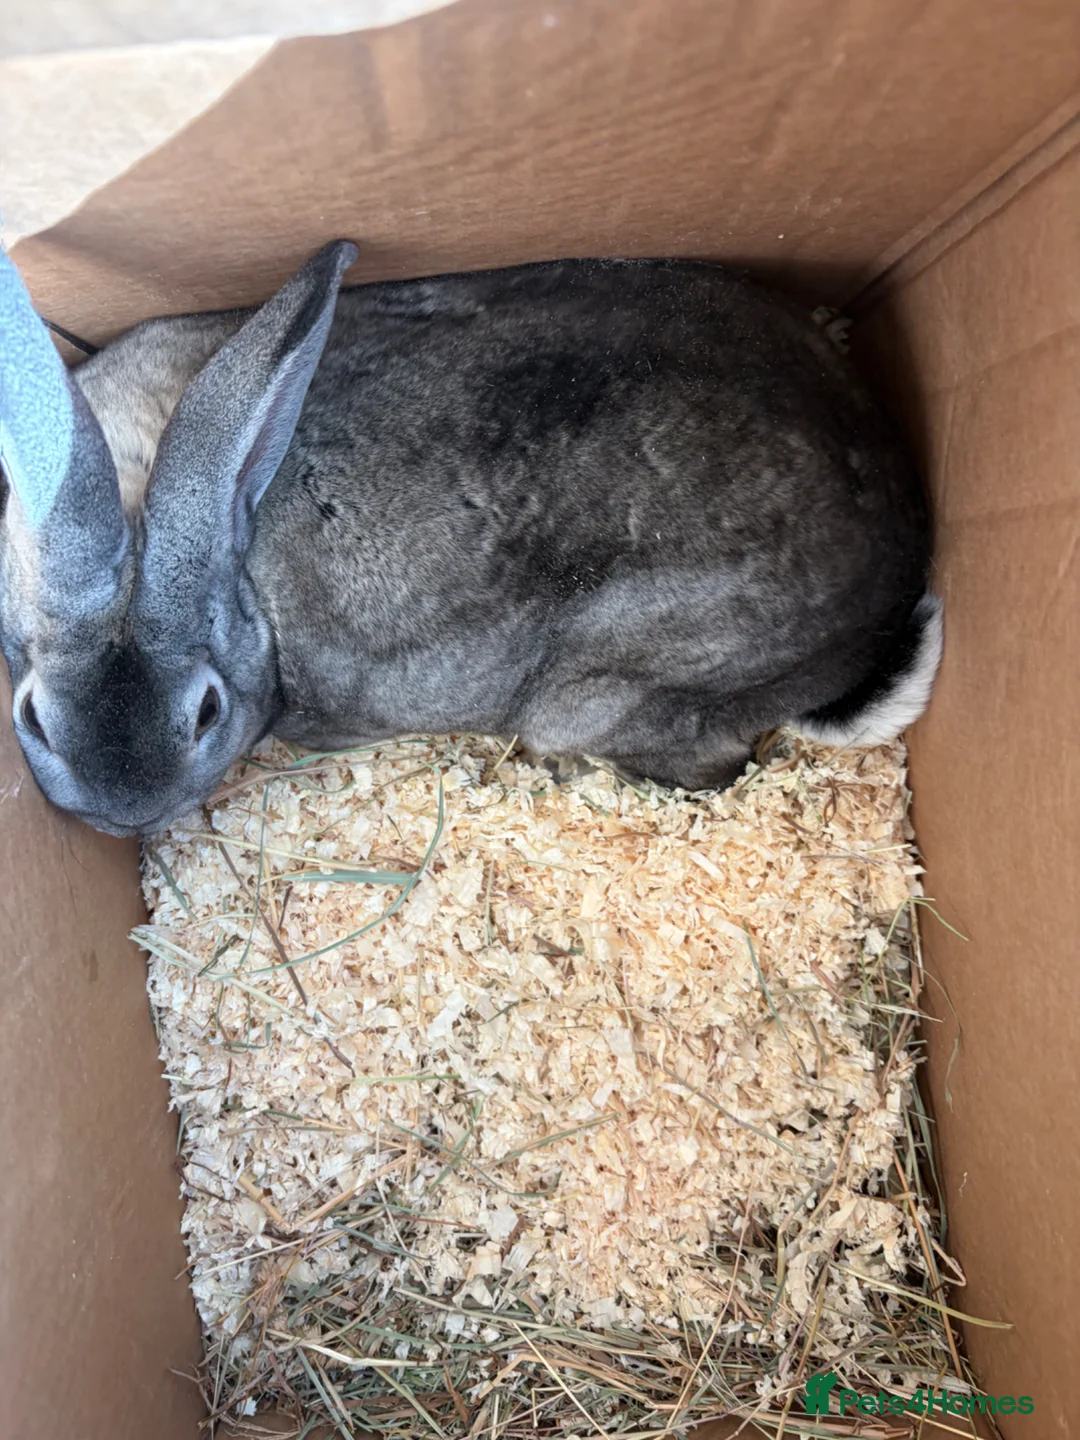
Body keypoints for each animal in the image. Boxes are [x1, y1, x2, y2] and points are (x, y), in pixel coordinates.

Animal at [0, 241, 941, 838]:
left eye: (205, 713)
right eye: (33, 718)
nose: (124, 815)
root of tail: (886, 604)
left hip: (603, 695)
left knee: (712, 768)